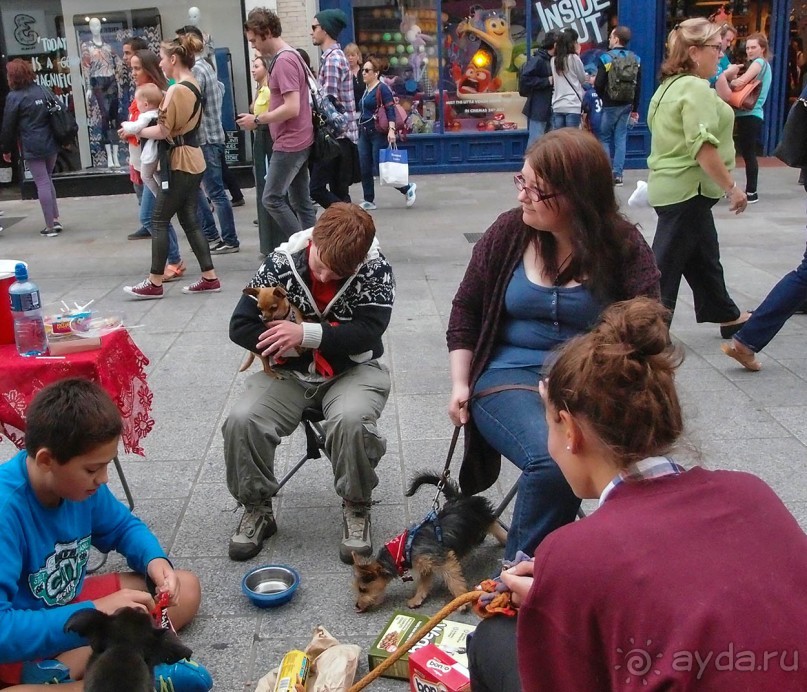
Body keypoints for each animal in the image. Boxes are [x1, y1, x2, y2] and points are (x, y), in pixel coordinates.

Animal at [352, 470, 504, 612]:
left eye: (362, 589)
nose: (357, 605)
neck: (403, 550)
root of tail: (457, 497)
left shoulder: (445, 561)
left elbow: (454, 581)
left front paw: (461, 601)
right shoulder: (426, 565)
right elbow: (423, 585)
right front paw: (417, 599)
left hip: (483, 517)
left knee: (496, 525)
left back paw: (505, 540)